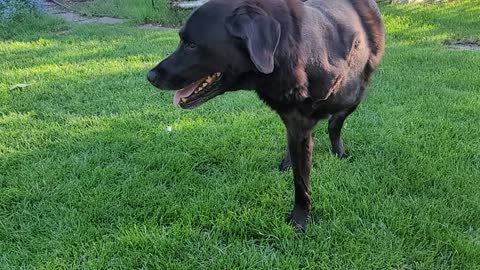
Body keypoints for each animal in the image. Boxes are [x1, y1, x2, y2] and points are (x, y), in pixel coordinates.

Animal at [148, 0, 384, 231]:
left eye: (191, 45)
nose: (149, 76)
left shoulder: (347, 98)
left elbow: (328, 133)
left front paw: (299, 219)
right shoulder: (295, 121)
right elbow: (299, 169)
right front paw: (299, 212)